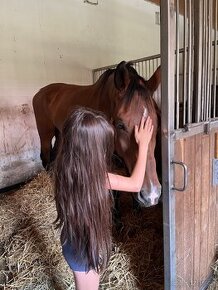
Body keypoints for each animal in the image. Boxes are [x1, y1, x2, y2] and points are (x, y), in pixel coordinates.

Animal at [32, 61, 162, 207]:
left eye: (157, 122)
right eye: (120, 125)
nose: (151, 195)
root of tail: (40, 92)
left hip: (60, 133)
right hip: (45, 134)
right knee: (46, 158)